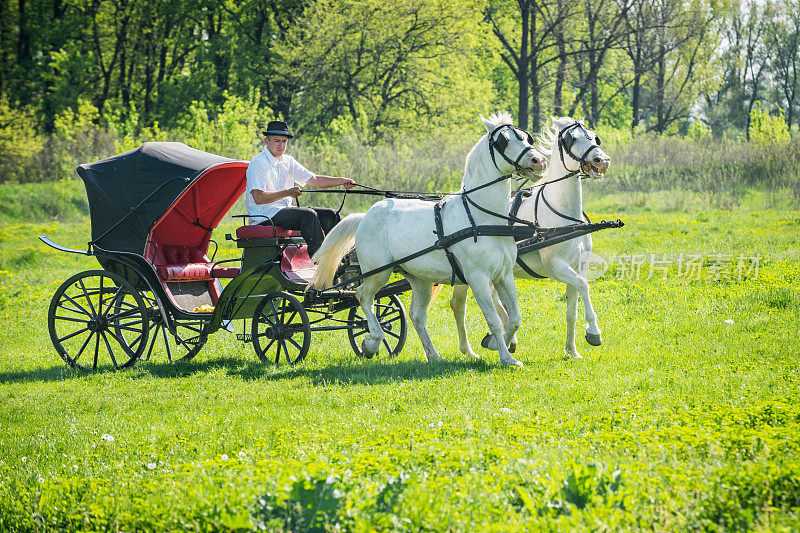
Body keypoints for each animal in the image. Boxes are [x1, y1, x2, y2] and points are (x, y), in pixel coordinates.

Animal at [310, 113, 548, 366]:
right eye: (503, 141)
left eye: (526, 137)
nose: (539, 161)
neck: (481, 218)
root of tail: (365, 215)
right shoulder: (478, 278)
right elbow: (493, 319)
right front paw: (506, 356)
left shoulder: (504, 275)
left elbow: (515, 317)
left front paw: (496, 344)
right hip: (378, 272)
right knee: (363, 296)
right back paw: (372, 340)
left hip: (419, 280)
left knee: (416, 315)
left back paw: (433, 355)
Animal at [450, 116, 612, 358]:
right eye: (572, 139)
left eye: (594, 137)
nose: (602, 160)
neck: (562, 213)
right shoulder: (556, 266)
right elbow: (584, 286)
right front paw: (594, 332)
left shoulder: (577, 266)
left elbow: (572, 309)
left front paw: (572, 350)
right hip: (467, 274)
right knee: (459, 305)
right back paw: (469, 350)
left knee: (495, 299)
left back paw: (504, 339)